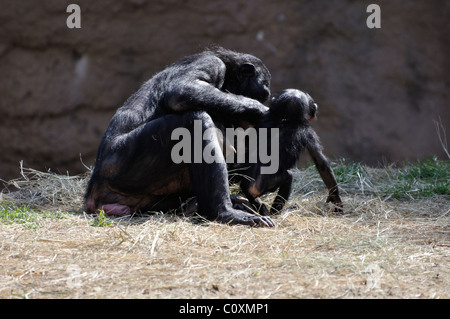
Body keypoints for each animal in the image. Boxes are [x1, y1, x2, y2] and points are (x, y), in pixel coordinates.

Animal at [84, 47, 274, 228]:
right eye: (262, 95)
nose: (264, 100)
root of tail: (93, 196)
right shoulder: (213, 64)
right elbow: (182, 90)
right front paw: (260, 110)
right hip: (121, 164)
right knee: (194, 120)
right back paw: (226, 212)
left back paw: (196, 205)